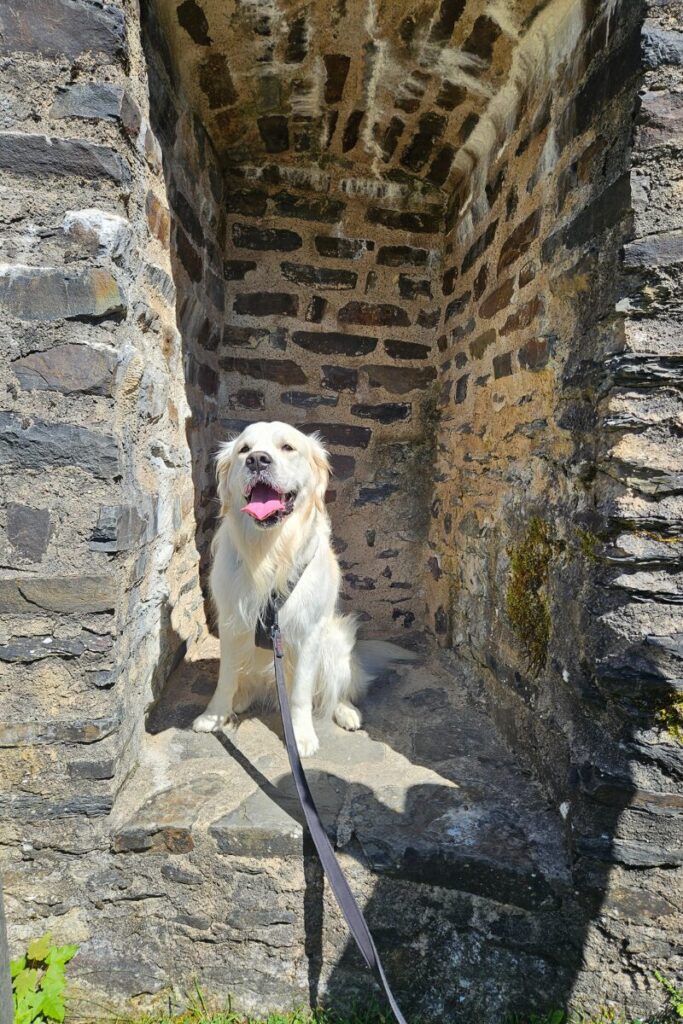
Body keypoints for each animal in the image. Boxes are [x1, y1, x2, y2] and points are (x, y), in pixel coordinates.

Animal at [193, 419, 417, 757]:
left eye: (287, 447)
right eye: (244, 449)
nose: (257, 460)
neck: (270, 553)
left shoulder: (307, 633)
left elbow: (299, 695)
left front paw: (300, 737)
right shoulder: (232, 624)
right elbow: (225, 679)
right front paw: (213, 716)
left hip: (335, 641)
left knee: (336, 690)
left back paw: (346, 711)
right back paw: (241, 700)